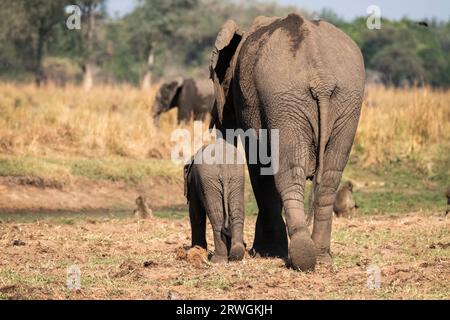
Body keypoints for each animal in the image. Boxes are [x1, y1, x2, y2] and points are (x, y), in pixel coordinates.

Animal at [210, 14, 366, 270]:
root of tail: (321, 79)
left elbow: (260, 167)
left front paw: (266, 252)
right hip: (344, 101)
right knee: (330, 177)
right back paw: (321, 257)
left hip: (285, 100)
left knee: (289, 175)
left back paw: (302, 256)